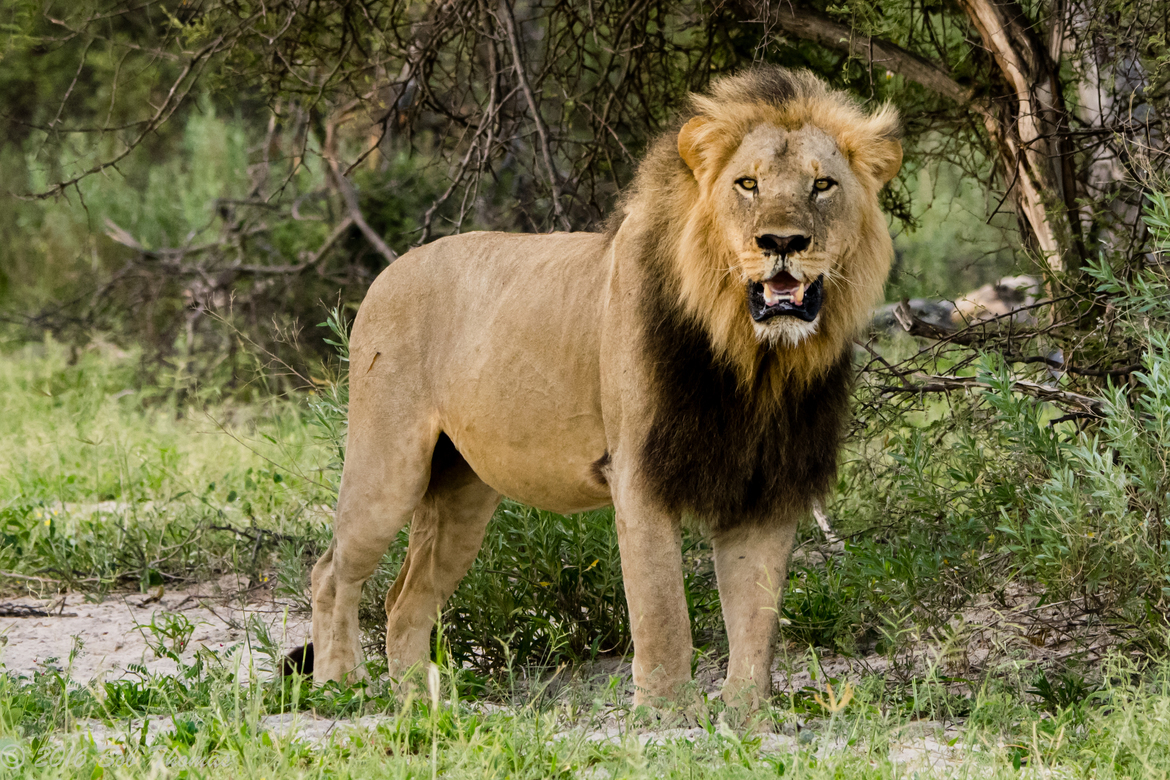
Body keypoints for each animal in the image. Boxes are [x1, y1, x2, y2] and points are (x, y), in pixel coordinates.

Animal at [303, 66, 901, 712]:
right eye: (748, 183)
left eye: (822, 185)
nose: (782, 243)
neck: (755, 360)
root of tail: (389, 270)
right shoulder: (638, 473)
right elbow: (662, 610)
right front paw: (665, 711)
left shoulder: (767, 485)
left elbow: (755, 616)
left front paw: (747, 714)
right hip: (388, 468)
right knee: (332, 573)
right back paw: (339, 686)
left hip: (461, 491)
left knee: (403, 601)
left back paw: (424, 705)